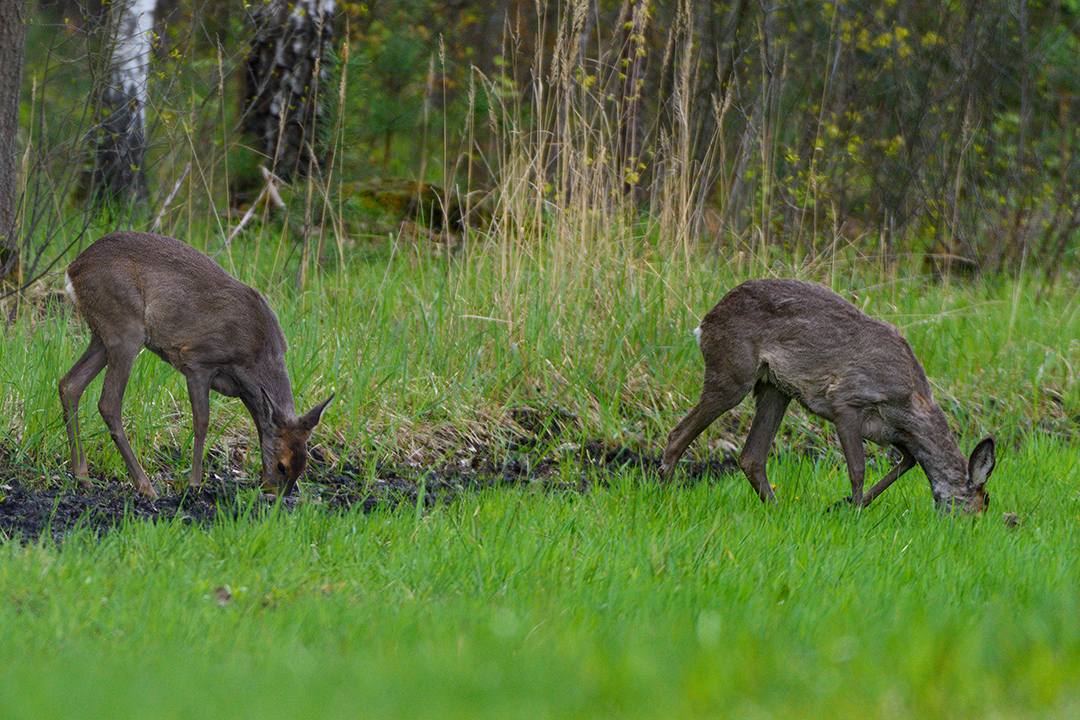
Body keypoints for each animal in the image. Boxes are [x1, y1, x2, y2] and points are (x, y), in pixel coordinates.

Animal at [58, 234, 328, 498]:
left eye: (304, 467)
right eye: (282, 466)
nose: (276, 495)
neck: (256, 356)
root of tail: (73, 269)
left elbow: (259, 427)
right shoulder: (198, 360)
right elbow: (202, 421)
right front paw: (194, 484)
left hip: (102, 334)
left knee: (70, 384)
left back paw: (83, 477)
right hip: (125, 329)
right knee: (108, 403)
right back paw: (145, 486)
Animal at [656, 278, 993, 511]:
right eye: (983, 501)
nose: (970, 529)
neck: (910, 404)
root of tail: (704, 322)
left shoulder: (890, 430)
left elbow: (908, 460)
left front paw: (843, 505)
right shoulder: (846, 400)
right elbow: (857, 469)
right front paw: (853, 511)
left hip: (775, 388)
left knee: (751, 456)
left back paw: (777, 510)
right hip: (732, 374)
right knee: (677, 434)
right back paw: (668, 497)